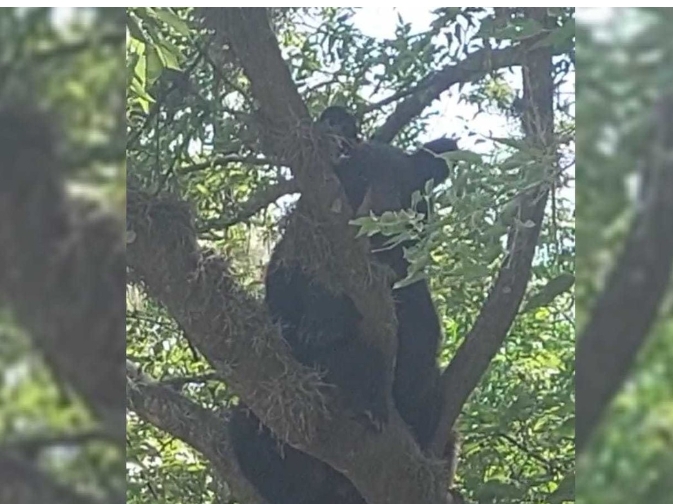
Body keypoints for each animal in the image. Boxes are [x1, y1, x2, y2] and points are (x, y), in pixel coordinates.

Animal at [230, 107, 456, 504]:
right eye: (362, 177)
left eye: (404, 184)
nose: (383, 224)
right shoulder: (296, 269)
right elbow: (297, 321)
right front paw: (324, 324)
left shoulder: (408, 292)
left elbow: (415, 351)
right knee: (250, 433)